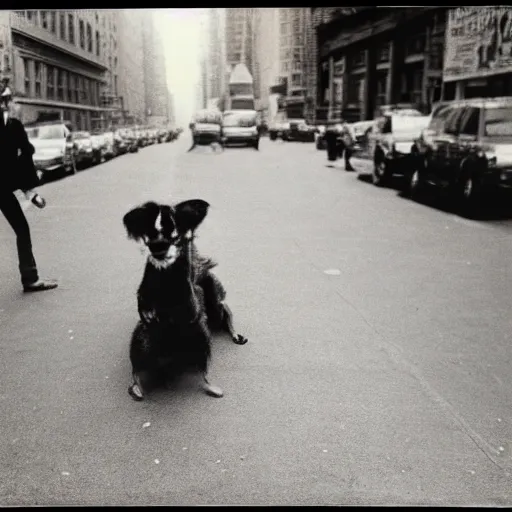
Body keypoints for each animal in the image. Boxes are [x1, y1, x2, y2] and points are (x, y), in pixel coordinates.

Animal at [122, 198, 246, 402]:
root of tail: (170, 358)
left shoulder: (195, 295)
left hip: (201, 337)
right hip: (143, 341)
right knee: (137, 367)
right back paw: (138, 388)